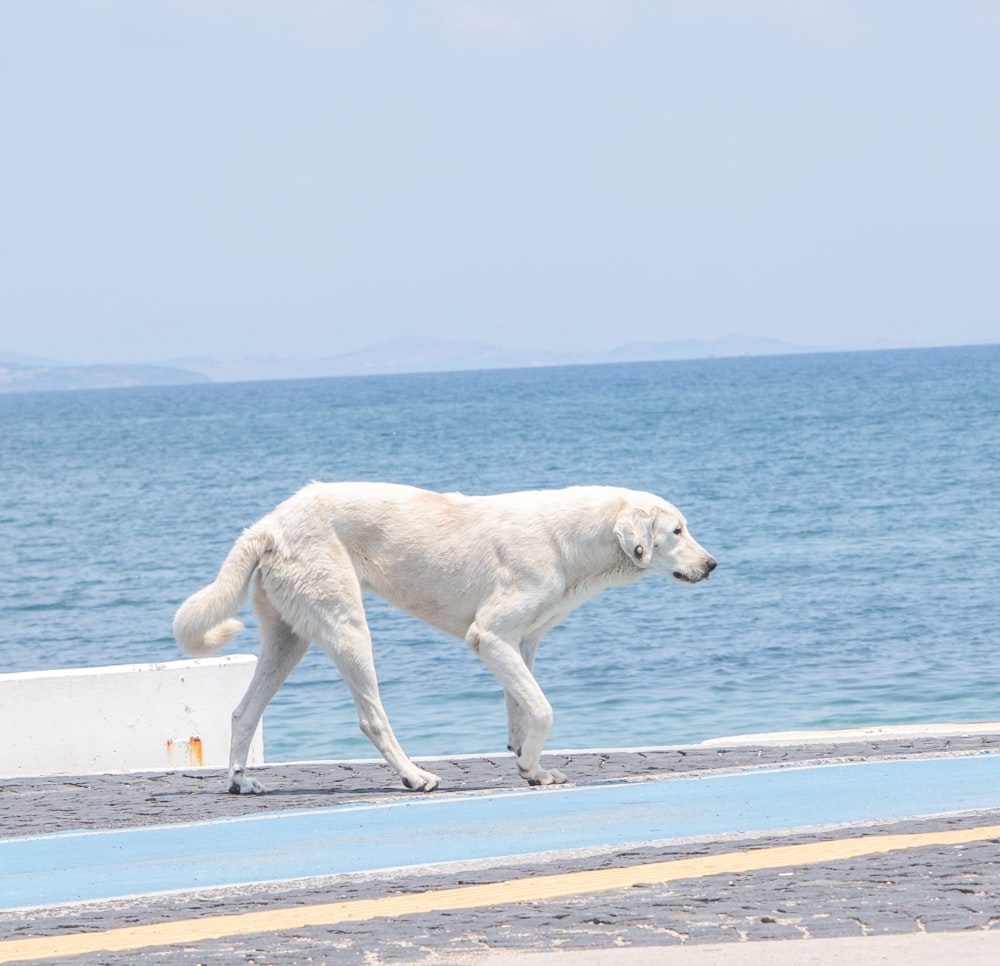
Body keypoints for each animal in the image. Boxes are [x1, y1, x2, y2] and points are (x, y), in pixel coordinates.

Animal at [176, 482, 716, 796]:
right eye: (677, 530)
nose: (712, 565)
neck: (572, 537)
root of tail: (270, 521)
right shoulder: (490, 637)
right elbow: (543, 709)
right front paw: (532, 764)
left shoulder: (520, 644)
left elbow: (522, 713)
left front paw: (531, 768)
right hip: (347, 629)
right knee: (372, 718)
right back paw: (413, 776)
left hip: (288, 638)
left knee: (243, 712)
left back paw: (239, 781)